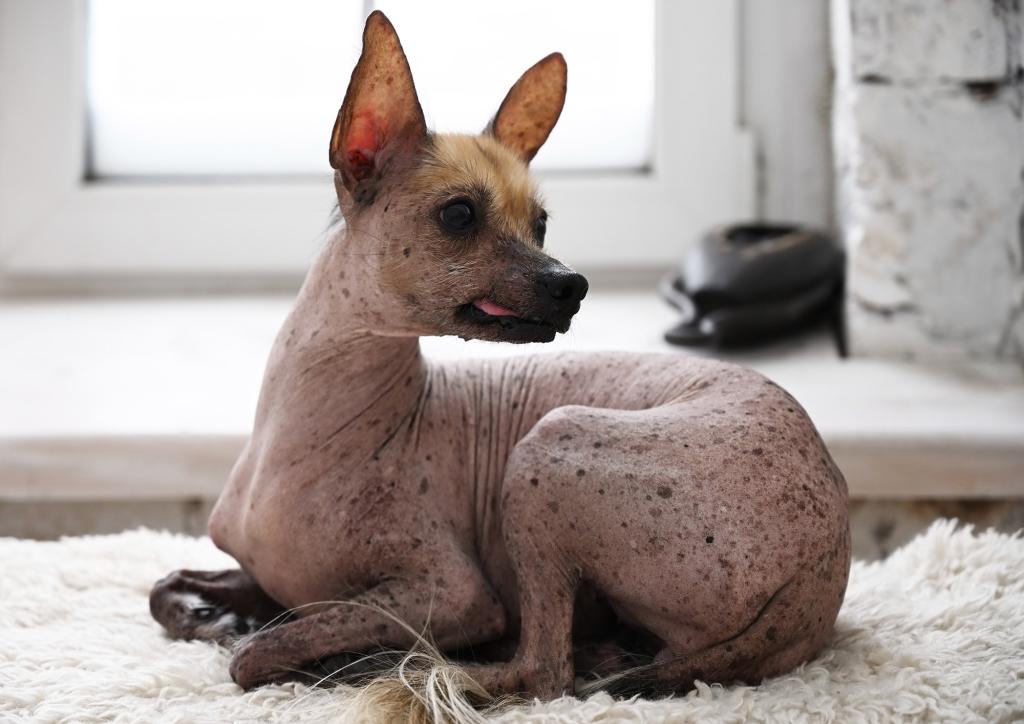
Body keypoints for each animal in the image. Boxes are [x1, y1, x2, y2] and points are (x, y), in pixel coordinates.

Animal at [149, 9, 847, 700]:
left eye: (540, 224)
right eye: (459, 215)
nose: (572, 285)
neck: (306, 424)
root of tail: (820, 573)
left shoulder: (453, 593)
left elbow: (262, 652)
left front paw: (293, 646)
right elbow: (168, 587)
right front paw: (215, 612)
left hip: (548, 450)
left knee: (539, 671)